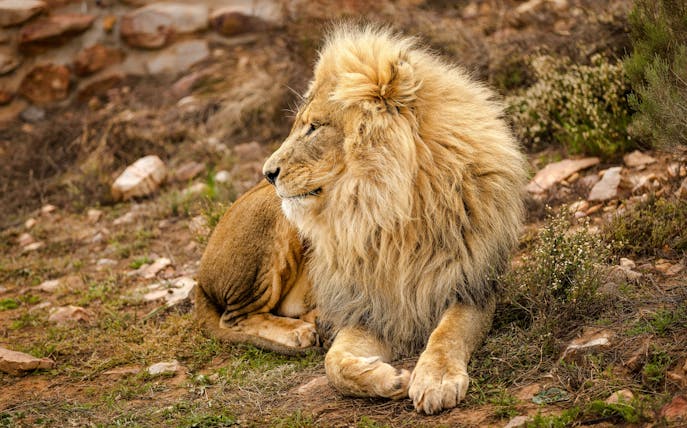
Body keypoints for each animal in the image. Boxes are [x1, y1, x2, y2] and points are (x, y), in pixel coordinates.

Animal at [197, 25, 526, 414]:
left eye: (314, 127)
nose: (267, 172)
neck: (389, 213)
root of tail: (199, 278)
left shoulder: (473, 287)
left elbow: (448, 334)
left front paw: (436, 379)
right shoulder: (369, 307)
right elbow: (334, 366)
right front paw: (390, 379)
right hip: (274, 225)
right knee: (235, 316)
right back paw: (299, 332)